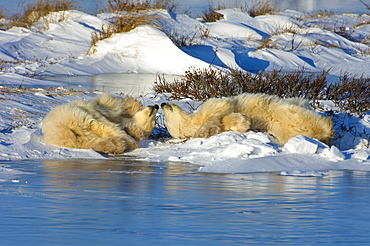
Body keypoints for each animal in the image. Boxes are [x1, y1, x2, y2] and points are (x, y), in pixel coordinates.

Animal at [160, 93, 334, 145]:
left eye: (166, 119)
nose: (161, 103)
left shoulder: (211, 106)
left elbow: (222, 107)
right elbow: (222, 125)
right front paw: (243, 122)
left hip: (282, 110)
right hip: (283, 127)